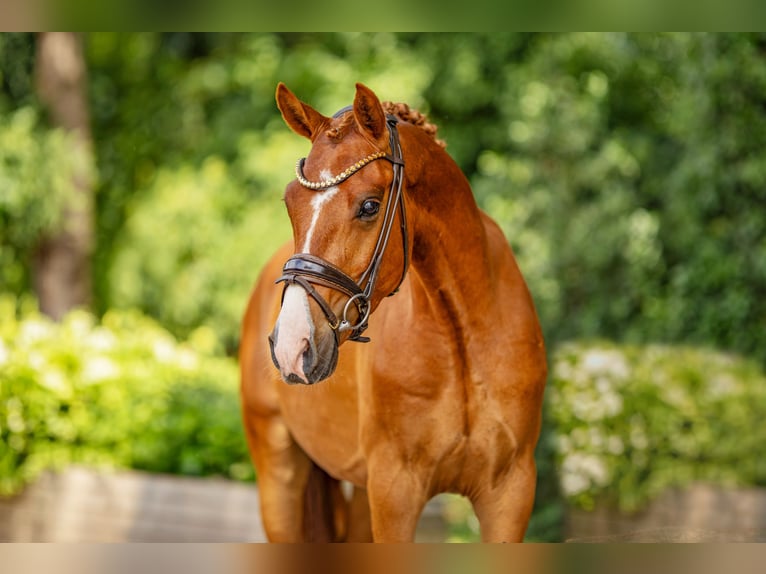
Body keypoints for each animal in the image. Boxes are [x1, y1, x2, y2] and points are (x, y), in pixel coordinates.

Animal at [239, 82, 547, 542]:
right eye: (290, 203)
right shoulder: (394, 491)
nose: (292, 345)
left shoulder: (510, 492)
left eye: (369, 206)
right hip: (280, 477)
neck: (462, 337)